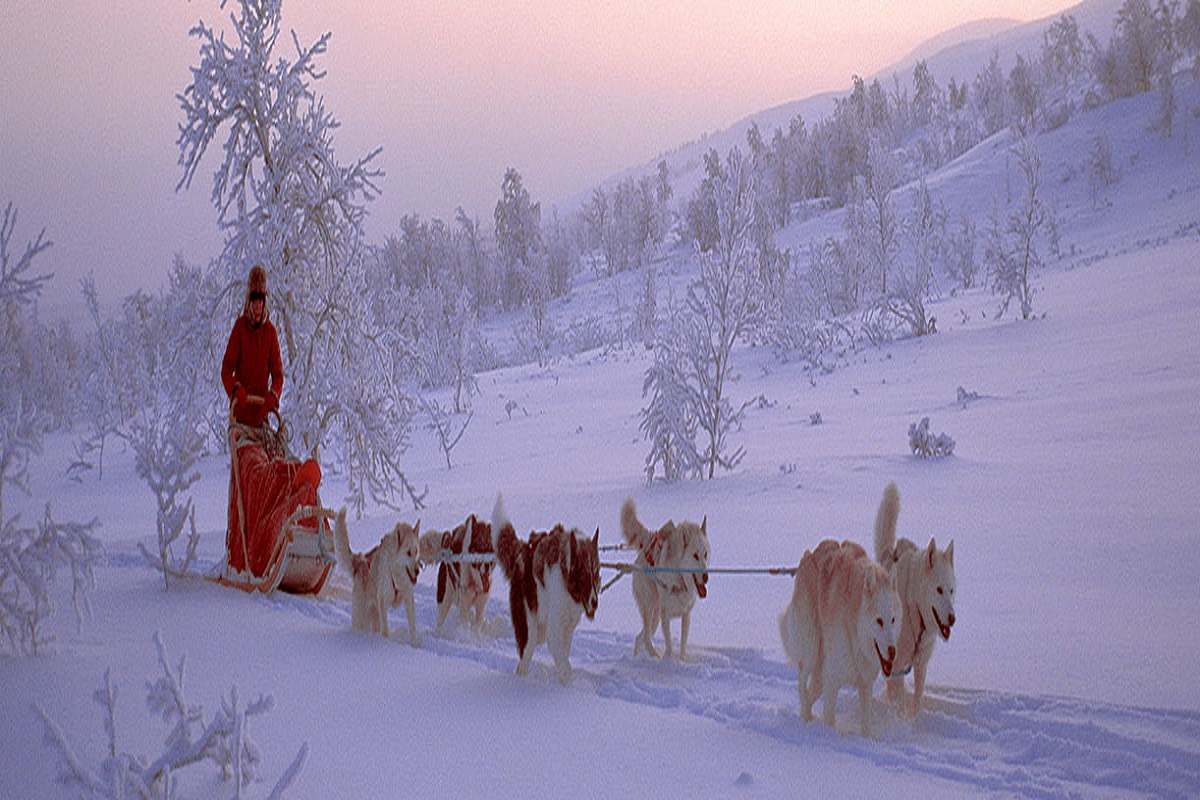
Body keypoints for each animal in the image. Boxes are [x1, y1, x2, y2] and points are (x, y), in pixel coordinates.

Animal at [333, 510, 422, 647]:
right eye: (408, 553)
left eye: (416, 551)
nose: (417, 571)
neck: (396, 573)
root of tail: (360, 562)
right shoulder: (383, 601)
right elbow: (385, 630)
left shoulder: (408, 597)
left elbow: (412, 626)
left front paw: (414, 644)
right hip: (362, 617)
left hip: (373, 615)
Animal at [487, 496, 600, 686]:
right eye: (584, 576)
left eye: (597, 574)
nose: (595, 602)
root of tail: (523, 549)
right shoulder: (554, 631)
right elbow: (565, 664)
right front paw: (570, 684)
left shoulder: (566, 629)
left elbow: (563, 658)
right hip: (531, 631)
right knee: (524, 659)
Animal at [624, 496, 705, 662]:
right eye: (695, 555)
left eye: (705, 554)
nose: (706, 577)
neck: (680, 578)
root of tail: (649, 542)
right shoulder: (665, 615)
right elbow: (669, 645)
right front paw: (668, 658)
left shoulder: (686, 615)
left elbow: (683, 643)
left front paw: (681, 659)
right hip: (650, 608)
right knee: (646, 637)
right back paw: (653, 655)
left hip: (655, 618)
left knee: (639, 637)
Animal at [777, 534, 902, 734]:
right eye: (879, 621)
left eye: (892, 620)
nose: (892, 651)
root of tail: (811, 554)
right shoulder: (831, 679)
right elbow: (830, 719)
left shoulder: (864, 684)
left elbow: (866, 726)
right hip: (810, 648)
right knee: (801, 681)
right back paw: (805, 717)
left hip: (820, 672)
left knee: (809, 692)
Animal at [873, 482, 955, 719]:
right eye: (938, 590)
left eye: (951, 590)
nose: (952, 619)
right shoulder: (898, 663)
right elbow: (899, 698)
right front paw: (901, 720)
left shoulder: (920, 665)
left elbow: (917, 698)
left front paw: (914, 719)